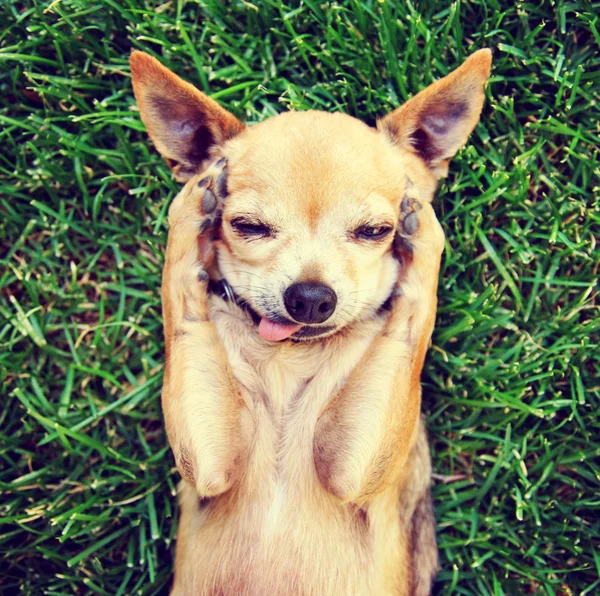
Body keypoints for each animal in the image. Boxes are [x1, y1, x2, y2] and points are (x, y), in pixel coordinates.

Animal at [131, 47, 492, 596]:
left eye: (375, 231)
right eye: (248, 226)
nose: (310, 297)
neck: (291, 357)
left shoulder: (353, 471)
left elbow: (412, 319)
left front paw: (425, 231)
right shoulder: (209, 464)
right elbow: (183, 303)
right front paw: (194, 200)